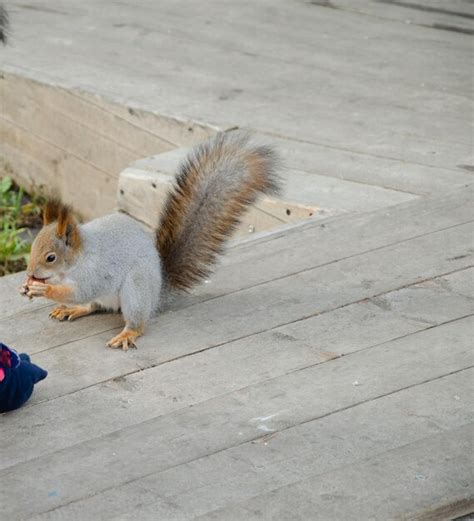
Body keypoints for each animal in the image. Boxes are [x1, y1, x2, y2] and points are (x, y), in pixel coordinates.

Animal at [20, 131, 282, 350]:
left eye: (51, 257)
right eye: (31, 248)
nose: (31, 272)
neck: (76, 261)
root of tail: (157, 294)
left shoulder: (96, 271)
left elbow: (81, 290)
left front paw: (45, 289)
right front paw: (26, 286)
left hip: (136, 291)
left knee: (136, 320)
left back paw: (128, 333)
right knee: (93, 305)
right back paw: (74, 309)